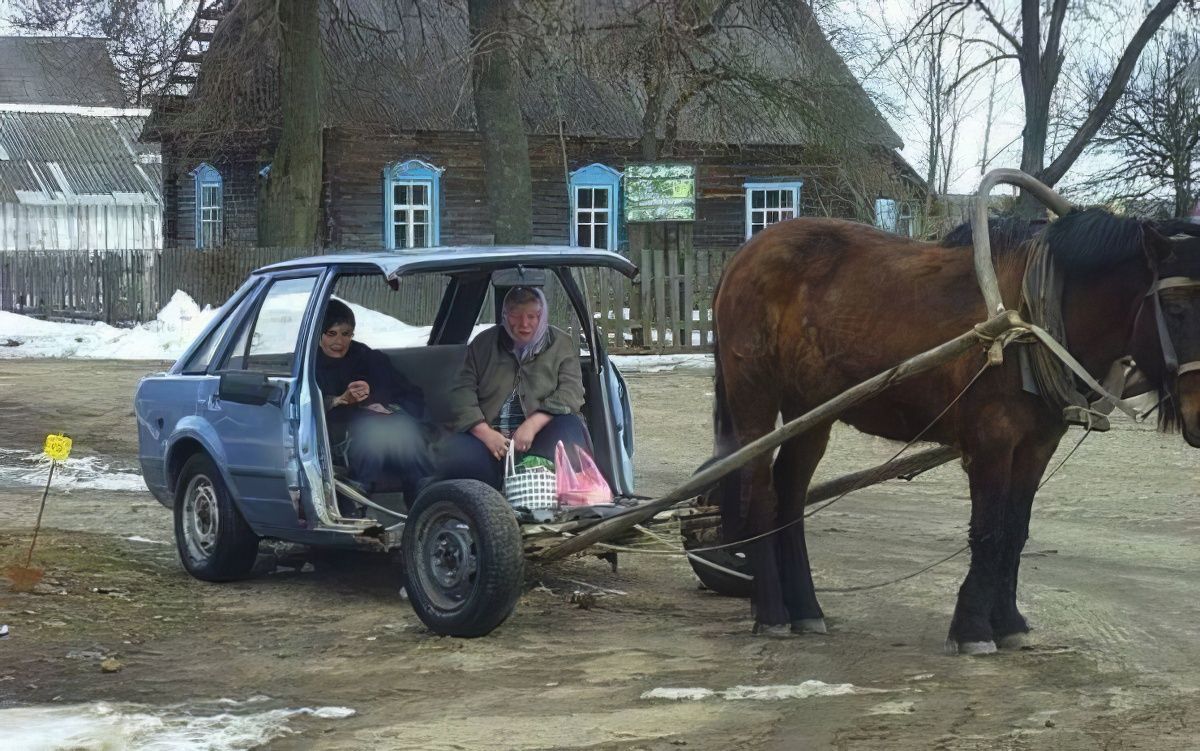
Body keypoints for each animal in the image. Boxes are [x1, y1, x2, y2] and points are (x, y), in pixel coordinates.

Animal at [705, 179, 1200, 647]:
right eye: (1176, 309)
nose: (1197, 415)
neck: (1029, 322)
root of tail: (743, 255)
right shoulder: (991, 441)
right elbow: (989, 530)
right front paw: (974, 628)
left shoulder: (1037, 445)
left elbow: (1015, 530)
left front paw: (1008, 622)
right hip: (755, 398)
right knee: (762, 495)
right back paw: (772, 613)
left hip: (811, 411)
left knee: (790, 496)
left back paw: (806, 609)